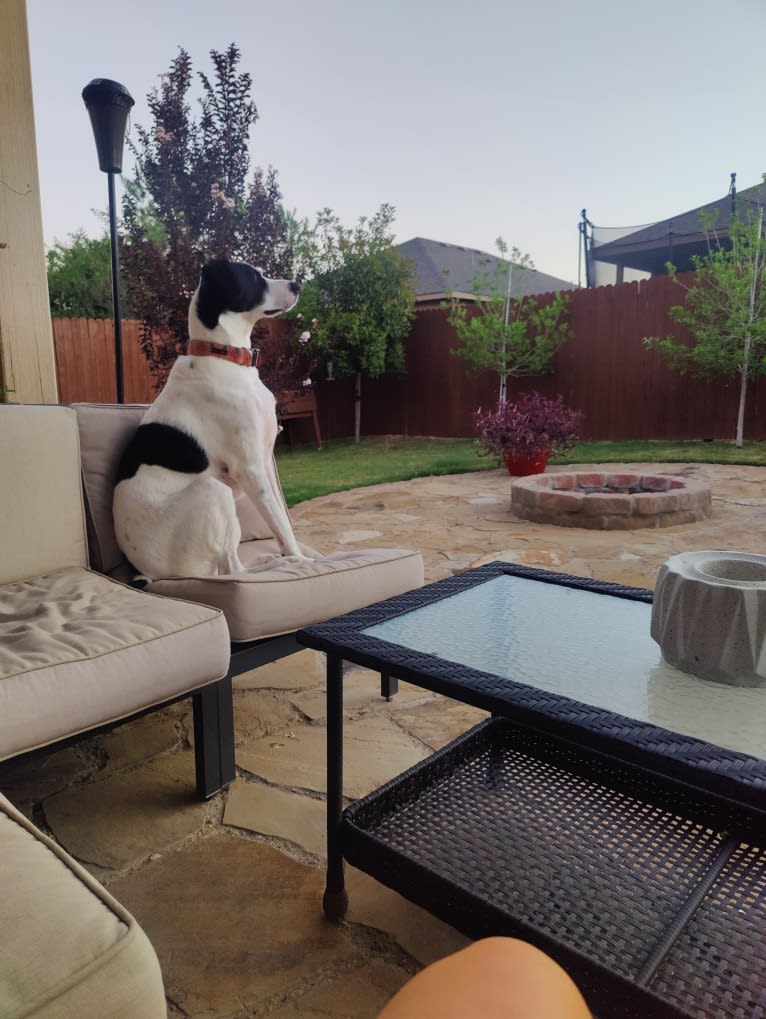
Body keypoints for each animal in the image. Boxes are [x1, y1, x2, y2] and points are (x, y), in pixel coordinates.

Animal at [115, 258, 303, 582]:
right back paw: (278, 564)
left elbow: (281, 519)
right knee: (231, 571)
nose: (298, 285)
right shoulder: (249, 468)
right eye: (254, 278)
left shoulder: (265, 460)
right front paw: (304, 560)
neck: (224, 357)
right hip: (214, 490)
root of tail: (150, 574)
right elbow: (280, 523)